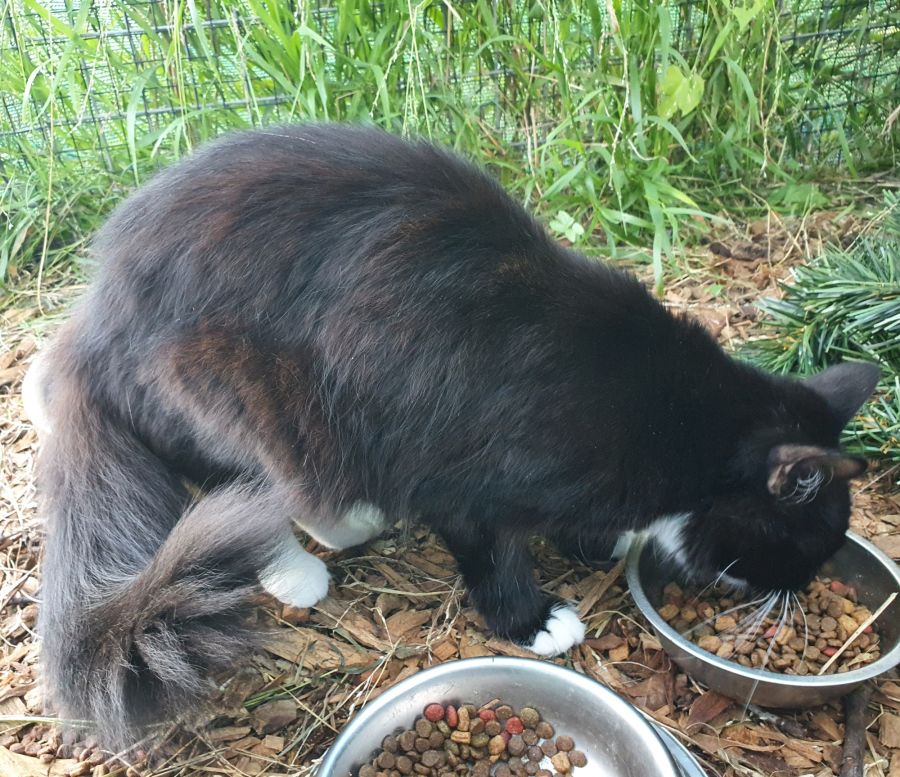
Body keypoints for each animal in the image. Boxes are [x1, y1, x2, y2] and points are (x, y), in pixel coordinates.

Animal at [24, 123, 878, 747]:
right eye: (807, 543)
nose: (799, 590)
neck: (674, 416)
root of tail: (92, 324)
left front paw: (593, 541)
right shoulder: (467, 479)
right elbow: (493, 552)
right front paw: (535, 618)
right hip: (238, 392)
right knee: (241, 489)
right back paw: (310, 558)